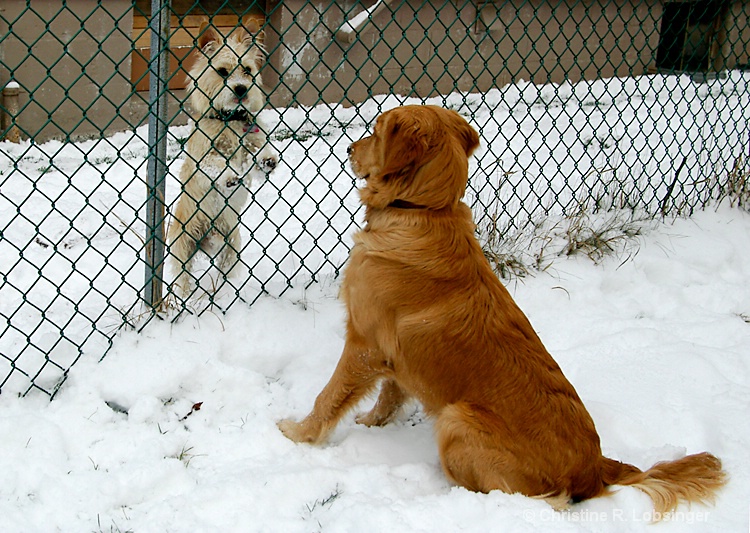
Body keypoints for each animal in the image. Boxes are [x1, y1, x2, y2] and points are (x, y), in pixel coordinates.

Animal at [167, 20, 280, 296]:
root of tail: (208, 241)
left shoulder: (251, 142)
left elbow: (258, 151)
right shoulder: (201, 159)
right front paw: (229, 176)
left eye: (247, 70)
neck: (230, 119)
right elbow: (216, 163)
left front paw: (268, 158)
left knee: (226, 273)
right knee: (183, 279)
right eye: (222, 72)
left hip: (231, 245)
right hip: (183, 245)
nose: (241, 89)